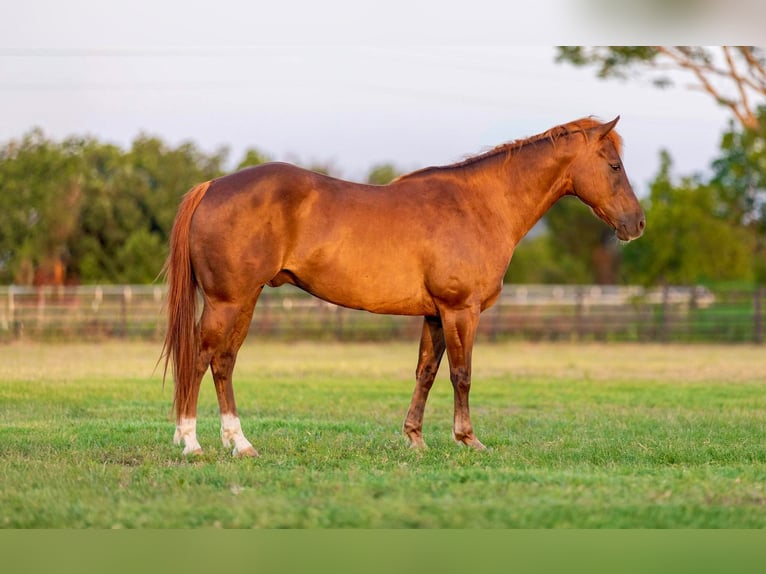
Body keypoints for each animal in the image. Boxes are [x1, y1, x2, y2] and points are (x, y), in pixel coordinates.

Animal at [164, 116, 648, 460]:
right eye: (614, 165)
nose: (637, 224)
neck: (481, 205)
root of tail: (212, 187)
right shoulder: (460, 310)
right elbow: (461, 374)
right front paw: (468, 439)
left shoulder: (434, 313)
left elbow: (426, 373)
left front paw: (415, 438)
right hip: (229, 302)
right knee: (202, 358)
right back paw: (192, 442)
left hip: (244, 302)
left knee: (224, 362)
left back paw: (239, 444)